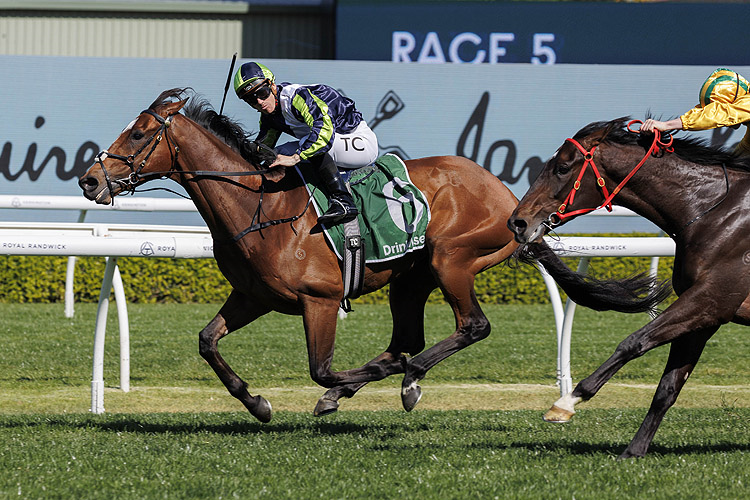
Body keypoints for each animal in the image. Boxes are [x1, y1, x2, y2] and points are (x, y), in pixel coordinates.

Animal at [79, 90, 668, 422]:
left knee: (468, 328)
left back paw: (406, 380)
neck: (259, 205)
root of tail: (510, 199)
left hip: (452, 259)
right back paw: (392, 377)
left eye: (138, 133)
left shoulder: (319, 299)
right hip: (411, 278)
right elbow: (207, 342)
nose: (89, 180)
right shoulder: (254, 296)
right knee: (407, 340)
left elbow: (320, 370)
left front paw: (338, 388)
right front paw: (258, 403)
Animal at [506, 116, 750, 458]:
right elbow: (668, 387)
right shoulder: (706, 311)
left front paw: (566, 402)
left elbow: (634, 342)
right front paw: (634, 450)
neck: (714, 211)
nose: (517, 222)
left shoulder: (712, 297)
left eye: (563, 167)